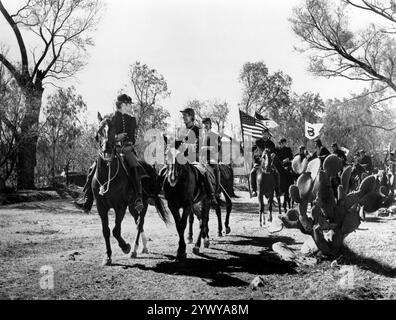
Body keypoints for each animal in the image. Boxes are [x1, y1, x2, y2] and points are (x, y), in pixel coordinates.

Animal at [93, 114, 169, 266]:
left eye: (113, 130)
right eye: (99, 131)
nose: (107, 150)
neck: (107, 176)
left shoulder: (120, 206)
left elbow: (116, 230)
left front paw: (125, 247)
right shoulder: (101, 207)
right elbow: (106, 231)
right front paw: (107, 256)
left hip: (143, 204)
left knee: (140, 224)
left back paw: (133, 250)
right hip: (133, 206)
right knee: (138, 223)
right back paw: (143, 247)